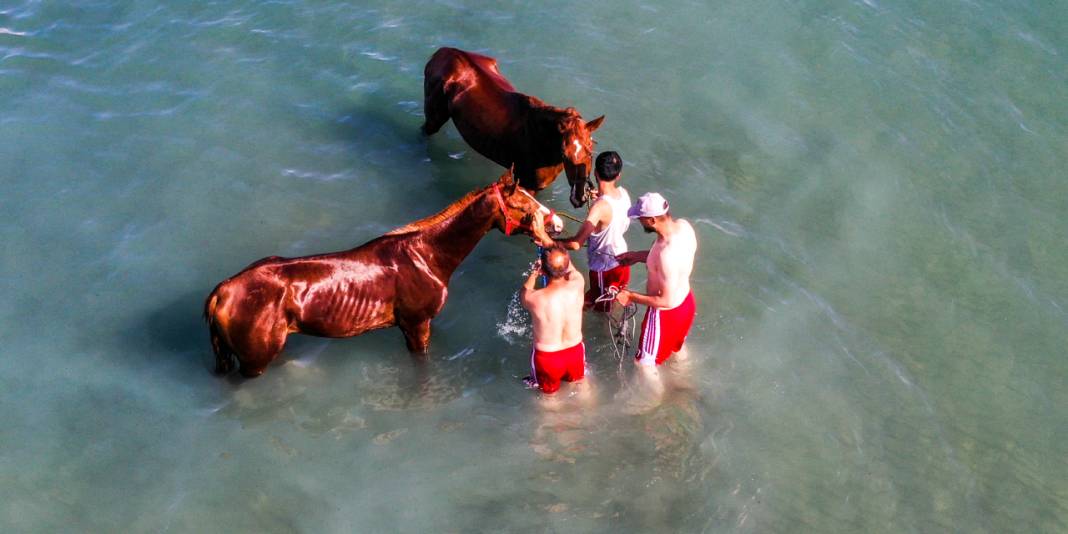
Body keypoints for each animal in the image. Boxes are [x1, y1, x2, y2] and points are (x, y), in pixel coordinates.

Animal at [202, 169, 563, 375]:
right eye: (524, 205)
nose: (557, 224)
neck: (426, 255)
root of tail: (223, 291)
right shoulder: (416, 325)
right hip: (255, 361)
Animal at [420, 46, 606, 208]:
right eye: (564, 154)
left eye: (590, 151)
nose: (579, 198)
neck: (541, 140)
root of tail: (442, 52)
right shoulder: (527, 186)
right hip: (434, 117)